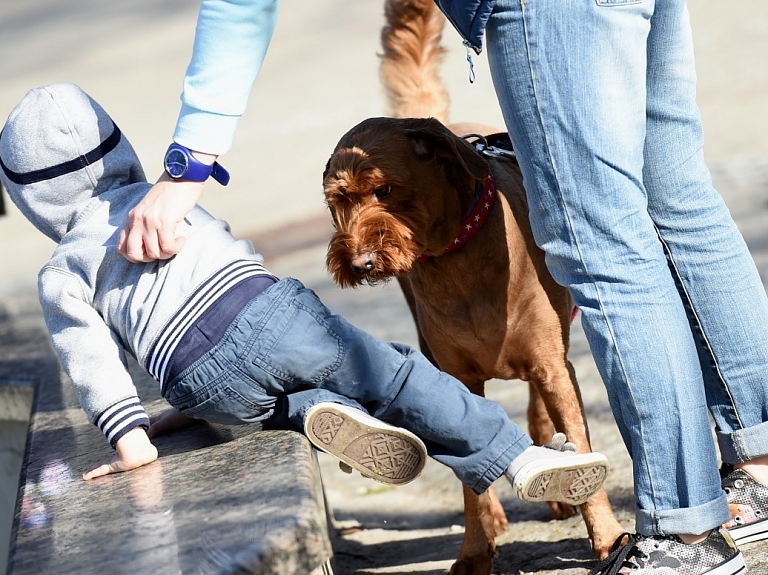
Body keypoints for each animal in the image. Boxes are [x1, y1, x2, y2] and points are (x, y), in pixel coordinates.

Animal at [320, 0, 628, 572]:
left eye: (385, 190)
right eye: (337, 203)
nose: (359, 261)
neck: (455, 255)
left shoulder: (552, 363)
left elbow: (575, 438)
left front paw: (607, 535)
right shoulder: (456, 377)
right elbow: (469, 478)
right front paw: (476, 548)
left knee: (538, 411)